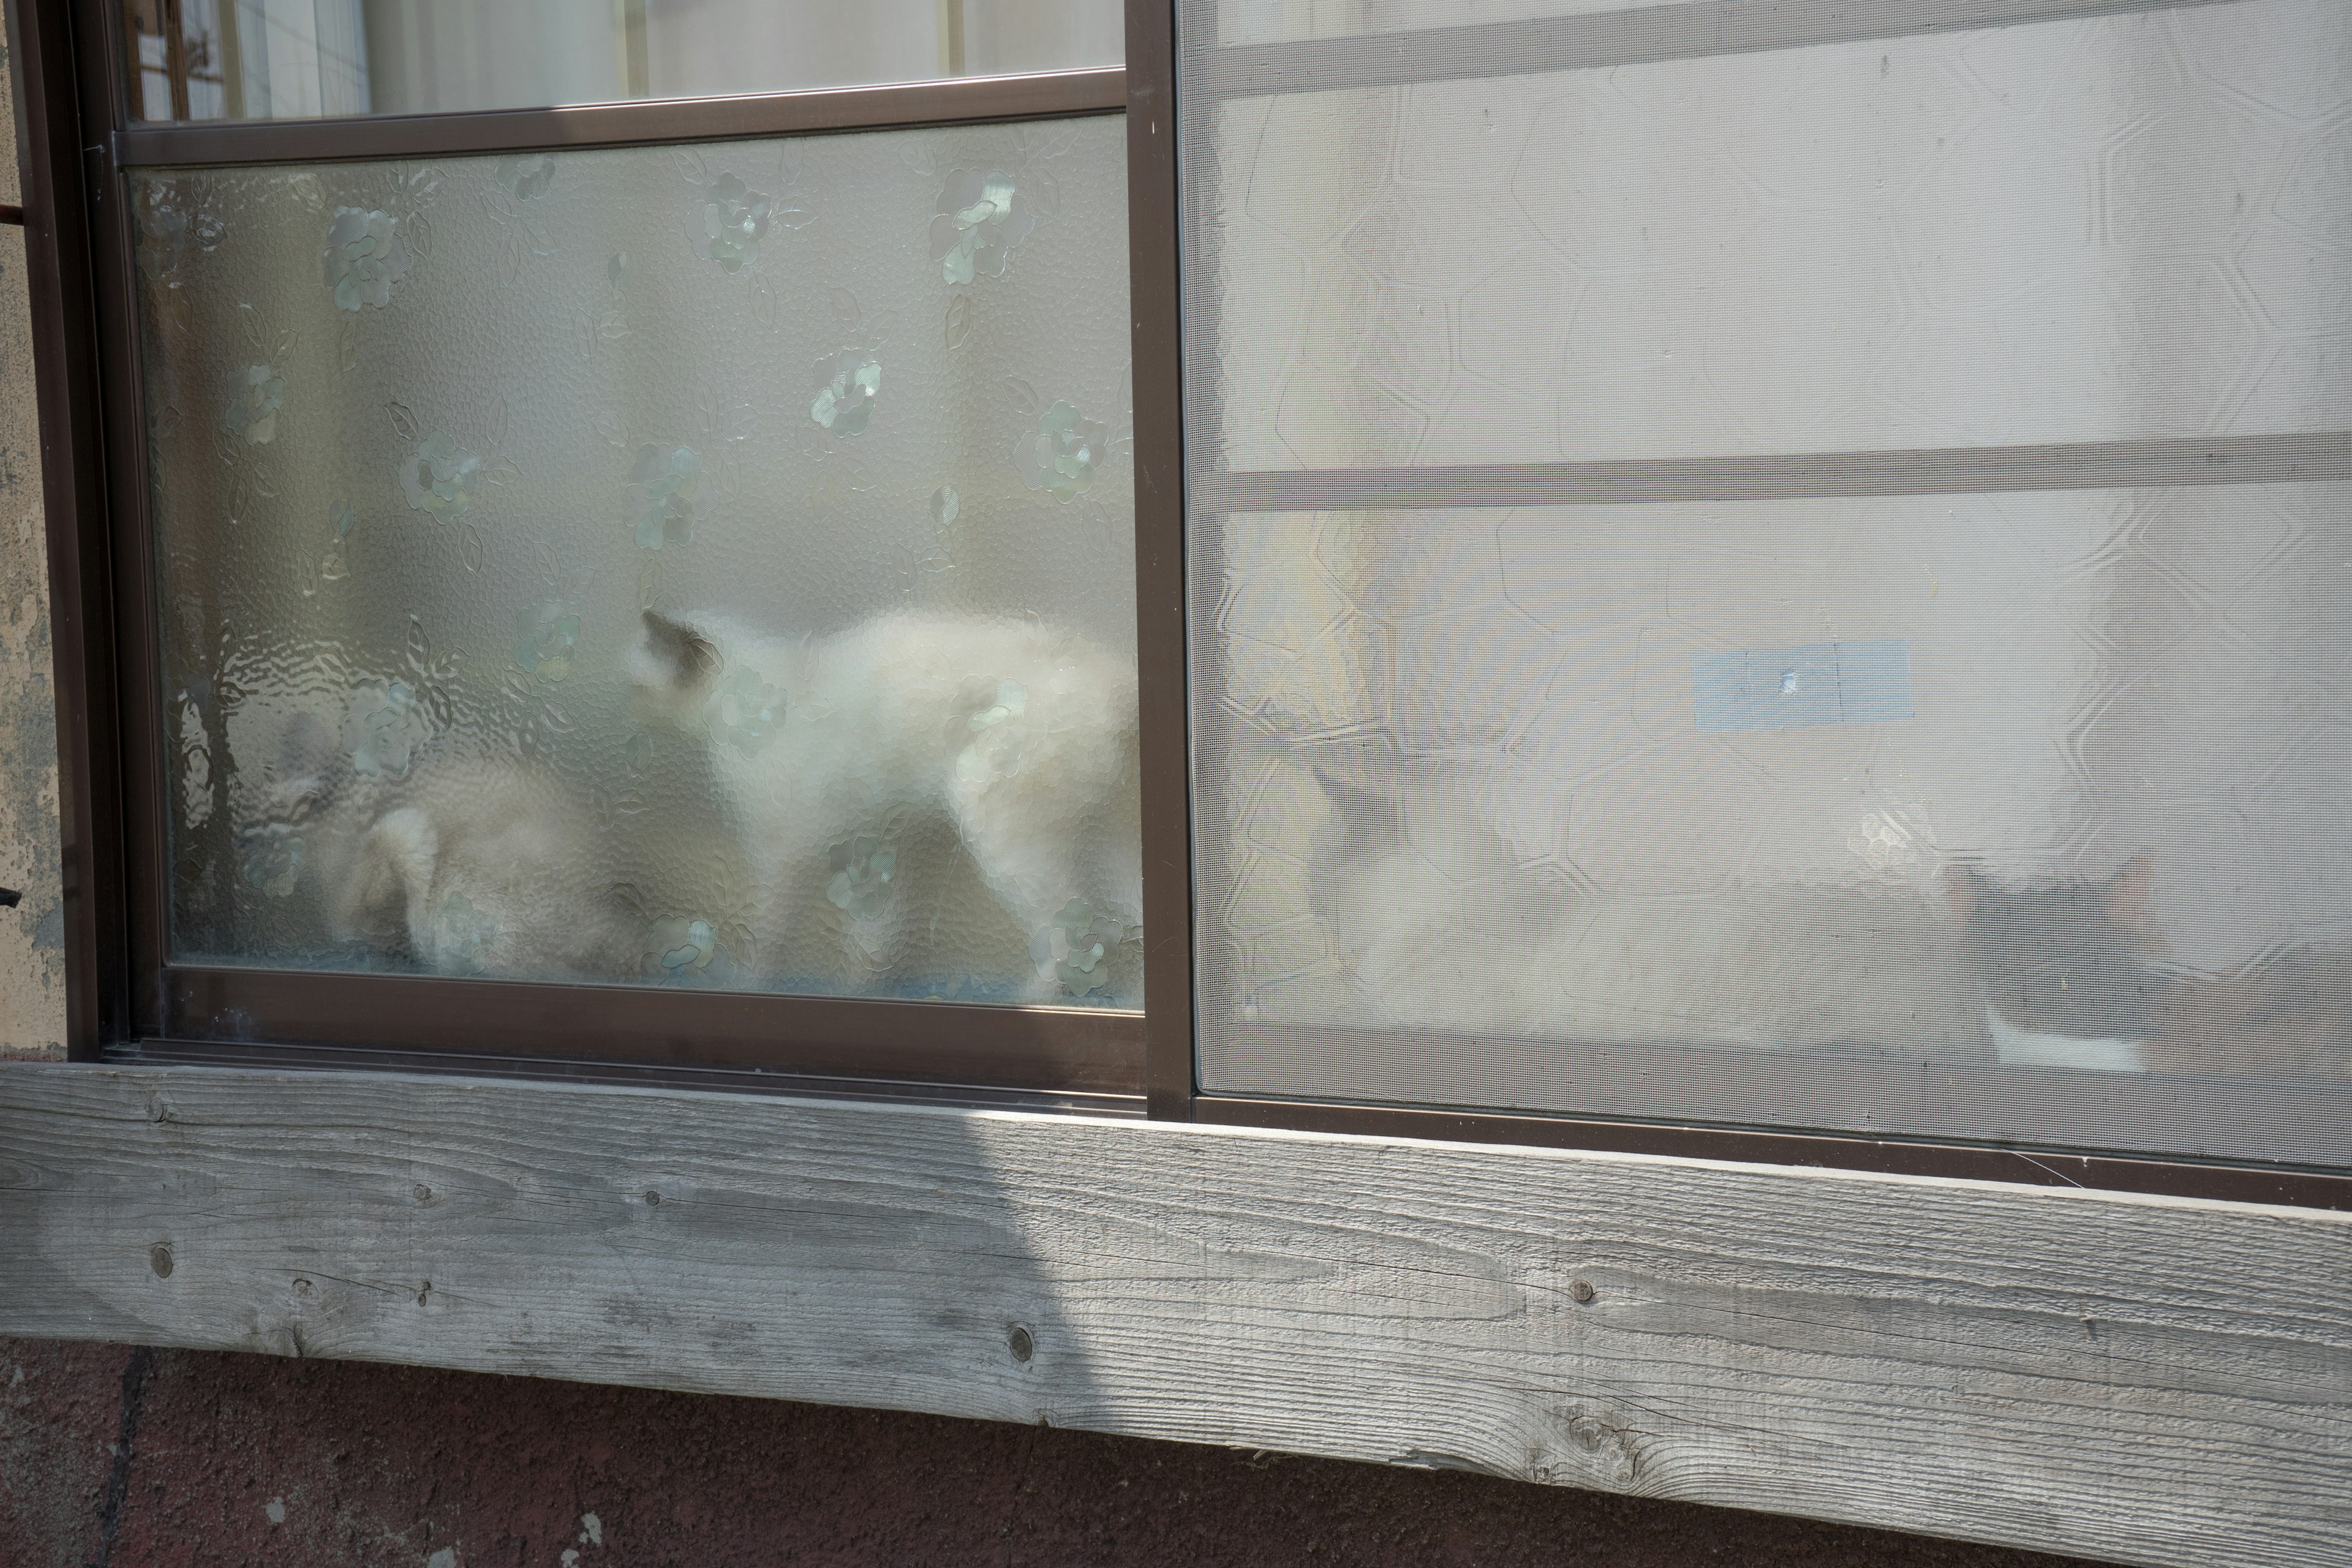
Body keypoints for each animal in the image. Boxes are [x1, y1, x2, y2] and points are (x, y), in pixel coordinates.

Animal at [625, 606, 1138, 1001]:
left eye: (638, 691)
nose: (621, 711)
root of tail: (1117, 673)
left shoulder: (783, 856)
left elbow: (761, 944)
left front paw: (746, 988)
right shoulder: (875, 848)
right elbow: (873, 947)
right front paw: (855, 995)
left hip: (994, 824)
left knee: (1072, 934)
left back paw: (1027, 1002)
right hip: (1111, 849)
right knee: (1125, 925)